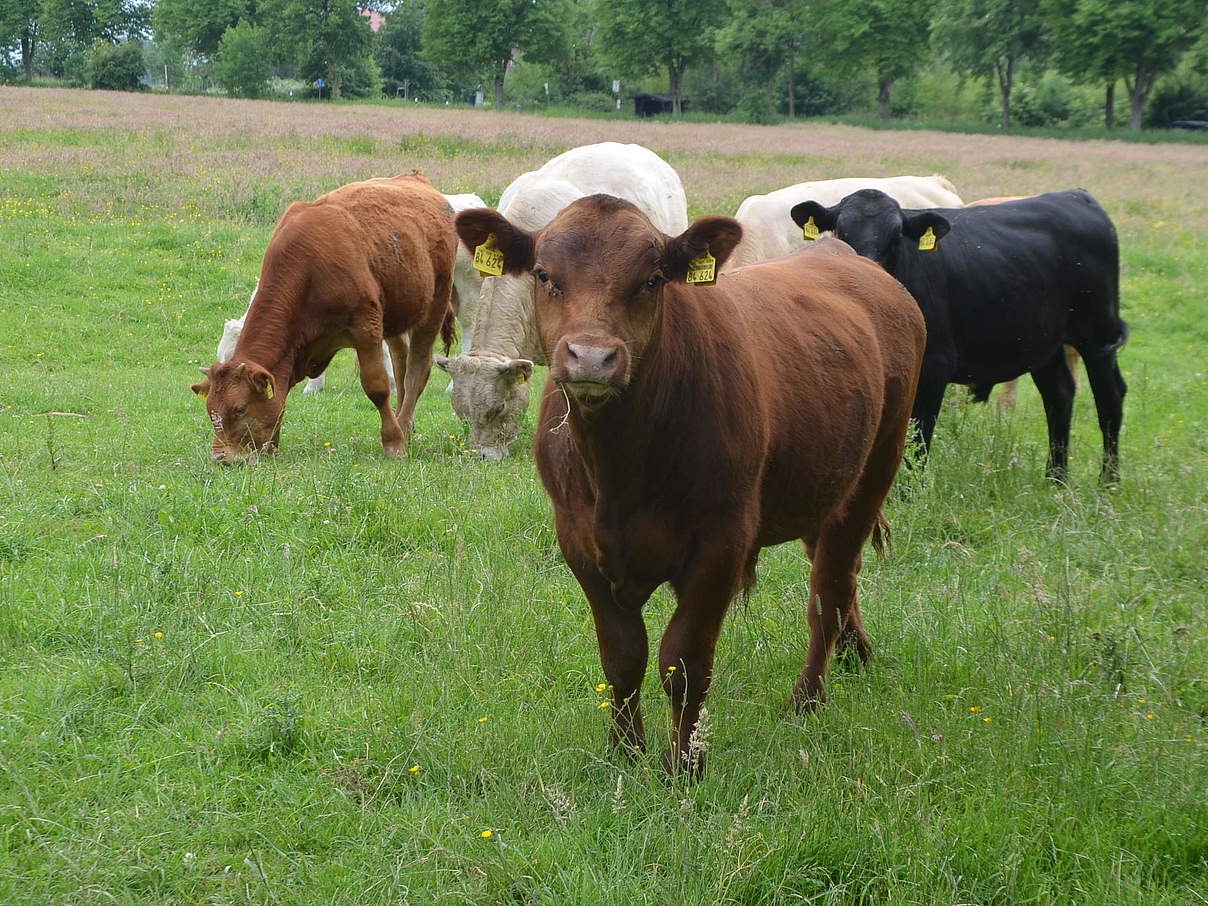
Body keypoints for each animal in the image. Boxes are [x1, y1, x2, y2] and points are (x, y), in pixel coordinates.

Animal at [193, 175, 456, 461]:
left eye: (239, 409)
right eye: (210, 411)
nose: (222, 458)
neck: (310, 268)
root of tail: (415, 178)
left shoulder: (366, 327)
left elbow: (376, 386)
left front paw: (393, 443)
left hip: (435, 304)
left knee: (417, 369)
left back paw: (404, 426)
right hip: (397, 316)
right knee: (401, 363)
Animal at [459, 195, 922, 777]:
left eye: (653, 279)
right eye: (544, 274)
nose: (591, 356)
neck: (619, 466)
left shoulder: (720, 543)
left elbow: (683, 660)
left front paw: (684, 765)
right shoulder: (578, 540)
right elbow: (622, 655)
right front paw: (625, 752)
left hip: (876, 468)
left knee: (829, 590)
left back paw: (807, 700)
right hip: (823, 481)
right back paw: (856, 654)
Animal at [792, 190, 1121, 485]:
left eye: (896, 235)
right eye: (841, 231)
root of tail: (1075, 195)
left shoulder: (935, 366)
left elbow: (919, 438)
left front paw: (910, 495)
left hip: (1098, 333)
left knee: (1110, 397)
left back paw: (1109, 482)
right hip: (1044, 343)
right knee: (1059, 395)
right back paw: (1056, 480)